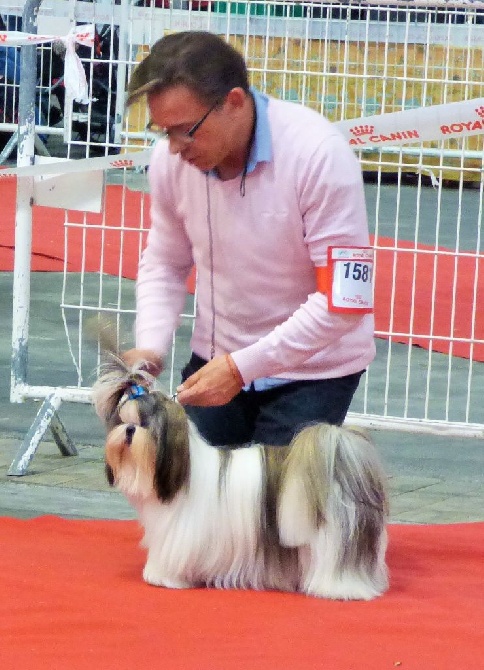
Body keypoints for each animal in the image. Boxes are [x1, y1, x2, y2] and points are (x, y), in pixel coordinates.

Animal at [92, 356, 390, 604]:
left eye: (145, 424)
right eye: (121, 420)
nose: (129, 430)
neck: (183, 471)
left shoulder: (180, 534)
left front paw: (164, 577)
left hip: (334, 539)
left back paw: (339, 590)